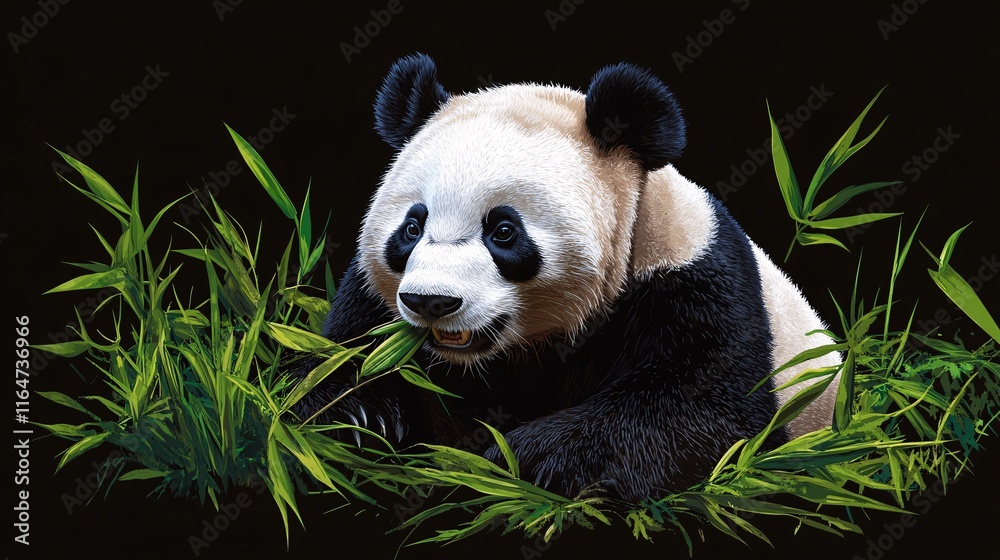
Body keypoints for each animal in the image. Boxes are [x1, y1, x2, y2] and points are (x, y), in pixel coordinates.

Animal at [295, 53, 842, 504]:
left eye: (503, 231)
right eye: (412, 227)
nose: (431, 301)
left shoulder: (693, 281)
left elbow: (704, 411)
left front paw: (527, 458)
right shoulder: (375, 301)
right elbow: (349, 354)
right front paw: (357, 414)